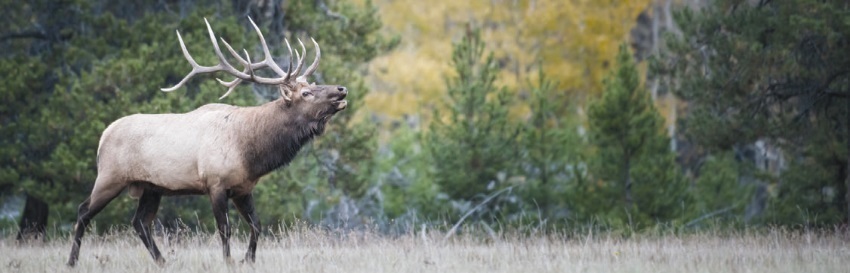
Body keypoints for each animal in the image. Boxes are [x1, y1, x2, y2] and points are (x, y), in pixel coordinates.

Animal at [63, 17, 348, 266]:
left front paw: (248, 260)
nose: (341, 89)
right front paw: (230, 262)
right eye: (307, 92)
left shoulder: (243, 187)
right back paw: (72, 261)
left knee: (140, 222)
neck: (251, 151)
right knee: (83, 212)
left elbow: (257, 225)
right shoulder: (216, 183)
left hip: (151, 187)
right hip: (110, 176)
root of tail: (103, 136)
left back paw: (162, 261)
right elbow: (225, 229)